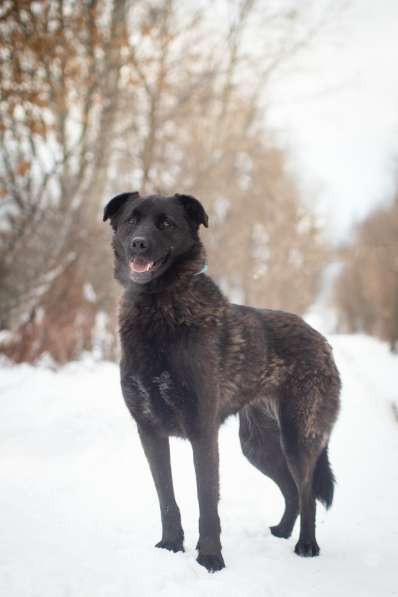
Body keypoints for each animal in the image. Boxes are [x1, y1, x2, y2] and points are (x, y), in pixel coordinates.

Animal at [103, 192, 342, 572]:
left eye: (166, 223)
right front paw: (171, 546)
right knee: (290, 489)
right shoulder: (150, 432)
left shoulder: (202, 433)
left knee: (306, 494)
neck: (158, 309)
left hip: (297, 439)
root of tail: (322, 341)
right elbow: (167, 498)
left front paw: (210, 558)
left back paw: (306, 545)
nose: (138, 243)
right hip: (258, 446)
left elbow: (206, 503)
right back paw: (282, 531)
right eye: (131, 220)